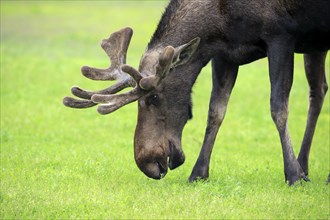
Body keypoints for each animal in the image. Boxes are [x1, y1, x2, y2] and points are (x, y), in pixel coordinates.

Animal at [63, 0, 328, 185]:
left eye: (154, 97)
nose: (146, 163)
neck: (220, 20)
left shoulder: (281, 36)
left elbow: (278, 108)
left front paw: (292, 175)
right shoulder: (226, 54)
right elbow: (215, 111)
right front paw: (199, 173)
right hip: (316, 44)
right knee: (318, 91)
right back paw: (305, 165)